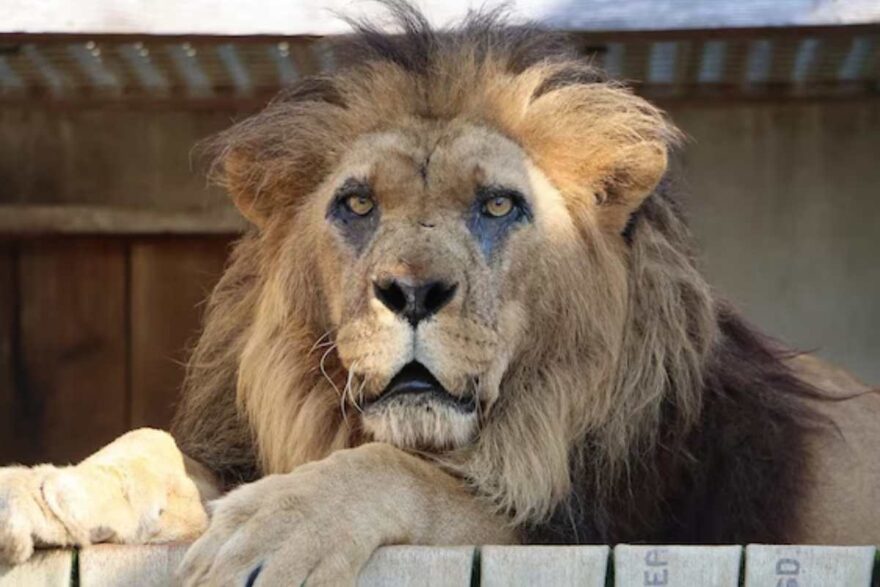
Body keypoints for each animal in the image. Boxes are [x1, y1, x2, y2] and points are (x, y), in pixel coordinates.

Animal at [1, 3, 879, 585]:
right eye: (358, 204)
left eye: (497, 205)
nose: (413, 290)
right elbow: (152, 447)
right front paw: (43, 487)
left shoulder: (587, 526)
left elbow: (410, 473)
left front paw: (277, 525)